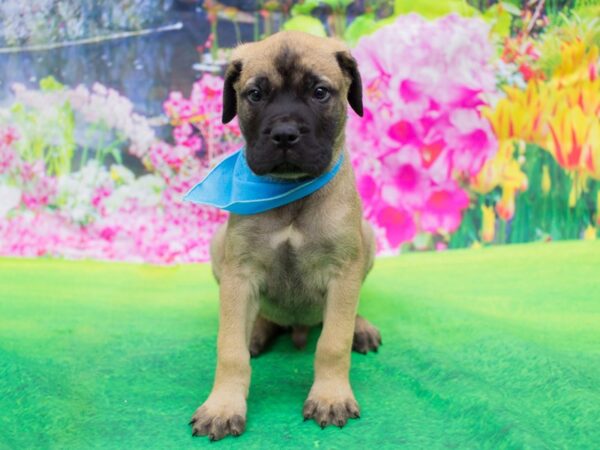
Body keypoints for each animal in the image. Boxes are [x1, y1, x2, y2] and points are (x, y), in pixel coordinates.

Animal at [190, 30, 382, 440]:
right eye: (255, 94)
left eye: (320, 92)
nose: (284, 135)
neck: (291, 192)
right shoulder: (239, 272)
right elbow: (230, 350)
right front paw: (223, 405)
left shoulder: (343, 271)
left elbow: (333, 342)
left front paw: (330, 396)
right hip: (218, 248)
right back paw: (258, 330)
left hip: (367, 240)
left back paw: (360, 327)